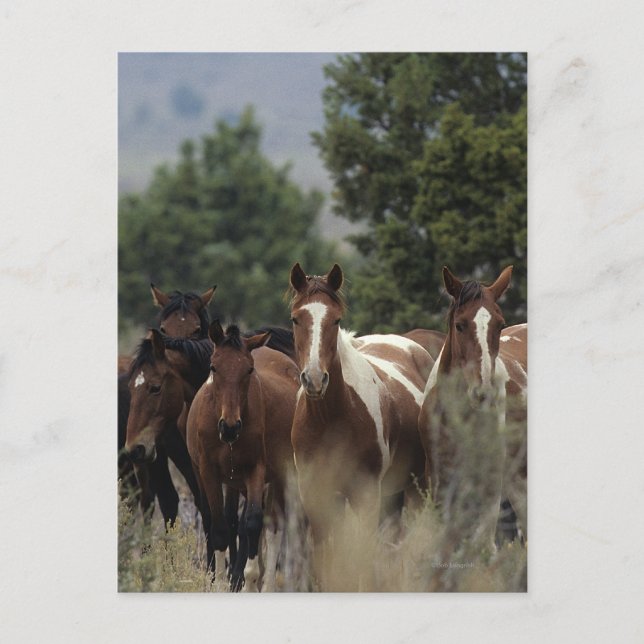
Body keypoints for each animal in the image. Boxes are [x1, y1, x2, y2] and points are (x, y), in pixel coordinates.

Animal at [186, 322, 300, 591]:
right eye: (213, 366)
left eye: (249, 369)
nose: (229, 427)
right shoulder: (208, 472)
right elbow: (219, 527)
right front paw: (219, 583)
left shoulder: (255, 471)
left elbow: (253, 522)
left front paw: (249, 580)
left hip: (280, 475)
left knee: (274, 525)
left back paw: (266, 585)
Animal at [288, 263, 434, 590]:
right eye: (296, 318)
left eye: (336, 319)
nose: (314, 379)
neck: (331, 420)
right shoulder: (316, 496)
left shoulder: (366, 495)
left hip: (415, 489)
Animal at [418, 266, 527, 566]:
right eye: (460, 325)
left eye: (500, 324)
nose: (483, 391)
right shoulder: (439, 478)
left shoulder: (490, 481)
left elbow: (483, 547)